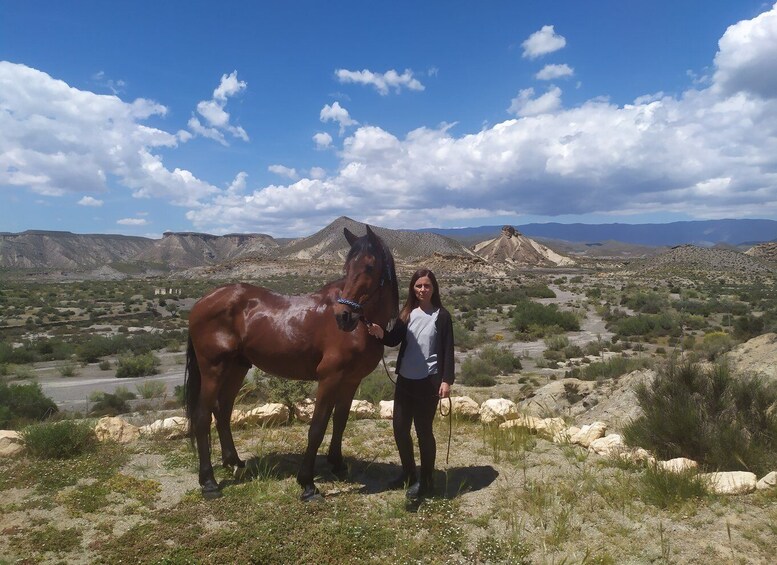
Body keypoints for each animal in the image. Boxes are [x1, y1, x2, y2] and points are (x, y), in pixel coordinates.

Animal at [184, 224, 398, 498]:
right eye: (347, 268)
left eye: (369, 267)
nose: (343, 316)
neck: (363, 326)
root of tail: (203, 301)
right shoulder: (330, 378)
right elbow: (317, 427)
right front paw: (307, 483)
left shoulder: (351, 380)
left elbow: (340, 421)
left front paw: (338, 464)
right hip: (213, 368)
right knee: (202, 417)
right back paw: (209, 482)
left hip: (236, 368)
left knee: (223, 412)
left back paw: (234, 462)